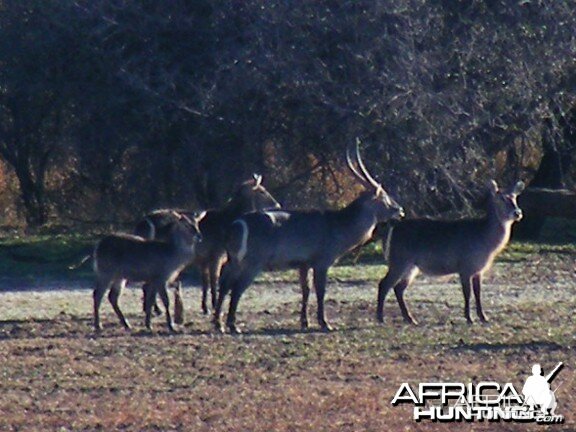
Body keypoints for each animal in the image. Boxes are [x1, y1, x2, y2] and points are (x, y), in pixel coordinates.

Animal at [135, 174, 280, 316]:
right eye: (262, 191)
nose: (277, 205)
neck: (227, 220)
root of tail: (143, 224)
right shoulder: (216, 256)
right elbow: (214, 281)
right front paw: (214, 306)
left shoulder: (204, 260)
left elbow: (205, 283)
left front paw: (205, 307)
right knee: (148, 285)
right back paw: (155, 310)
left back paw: (152, 309)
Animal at [214, 141, 402, 334]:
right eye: (384, 196)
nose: (400, 210)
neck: (338, 225)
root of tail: (237, 224)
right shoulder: (322, 262)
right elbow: (321, 291)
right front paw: (325, 323)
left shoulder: (304, 264)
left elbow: (306, 290)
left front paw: (305, 322)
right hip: (252, 264)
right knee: (236, 288)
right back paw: (233, 325)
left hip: (233, 260)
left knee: (224, 283)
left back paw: (218, 324)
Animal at [376, 179, 524, 324]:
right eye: (501, 198)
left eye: (515, 197)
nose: (517, 213)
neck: (485, 240)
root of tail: (395, 225)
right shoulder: (465, 267)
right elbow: (467, 293)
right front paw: (469, 318)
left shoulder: (478, 269)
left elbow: (478, 293)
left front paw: (483, 317)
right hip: (399, 260)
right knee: (384, 284)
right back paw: (381, 318)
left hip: (411, 266)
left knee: (398, 288)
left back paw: (410, 318)